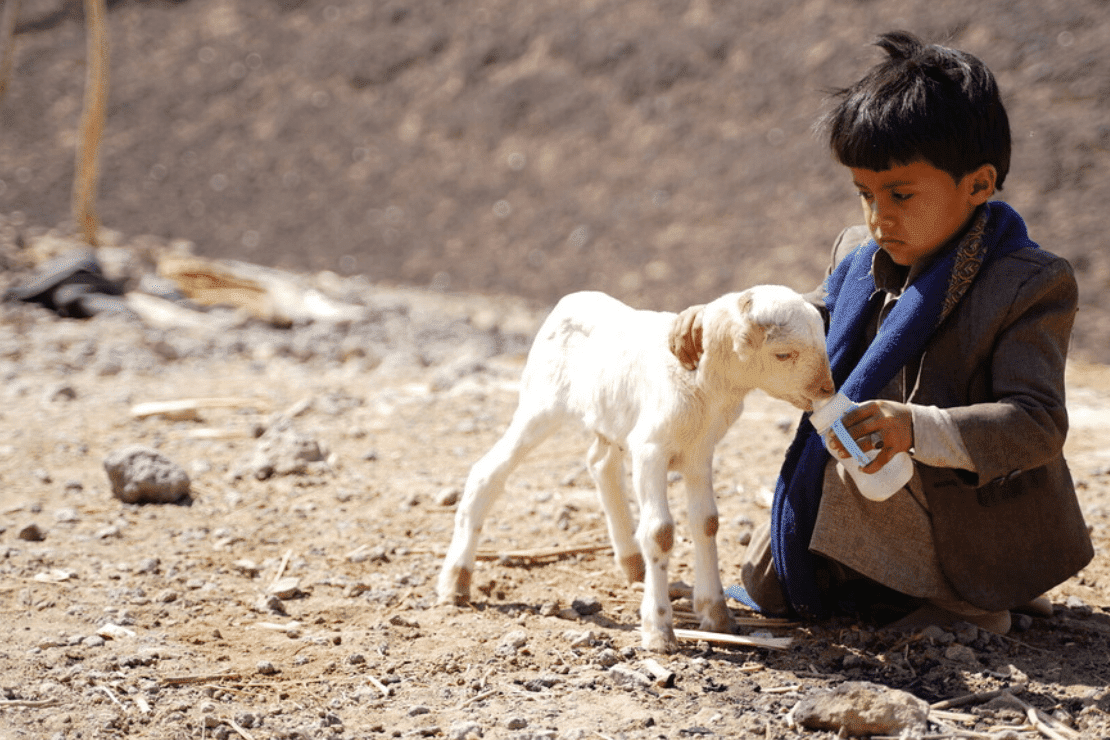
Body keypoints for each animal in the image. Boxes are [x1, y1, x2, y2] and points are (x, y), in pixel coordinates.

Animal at [436, 286, 834, 652]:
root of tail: (572, 299)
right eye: (783, 354)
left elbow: (707, 523)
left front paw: (717, 615)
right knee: (488, 471)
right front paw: (659, 631)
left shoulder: (699, 453)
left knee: (600, 463)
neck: (706, 387)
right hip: (541, 404)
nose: (827, 390)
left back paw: (633, 564)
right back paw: (456, 582)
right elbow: (661, 532)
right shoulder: (650, 449)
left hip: (608, 416)